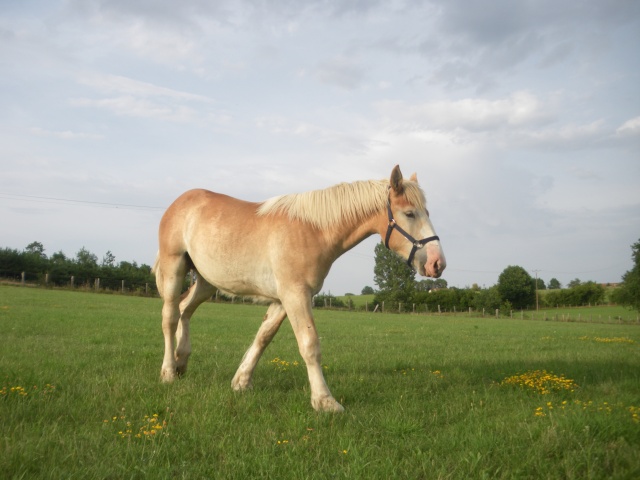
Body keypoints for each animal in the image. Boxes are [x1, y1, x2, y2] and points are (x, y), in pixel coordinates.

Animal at [154, 166, 444, 412]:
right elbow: (309, 344)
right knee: (170, 316)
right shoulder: (295, 295)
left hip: (206, 281)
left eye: (428, 213)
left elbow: (263, 337)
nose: (437, 263)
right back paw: (168, 371)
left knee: (185, 309)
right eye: (410, 213)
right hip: (174, 267)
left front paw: (241, 382)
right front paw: (324, 401)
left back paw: (181, 361)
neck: (313, 231)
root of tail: (181, 201)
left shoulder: (282, 299)